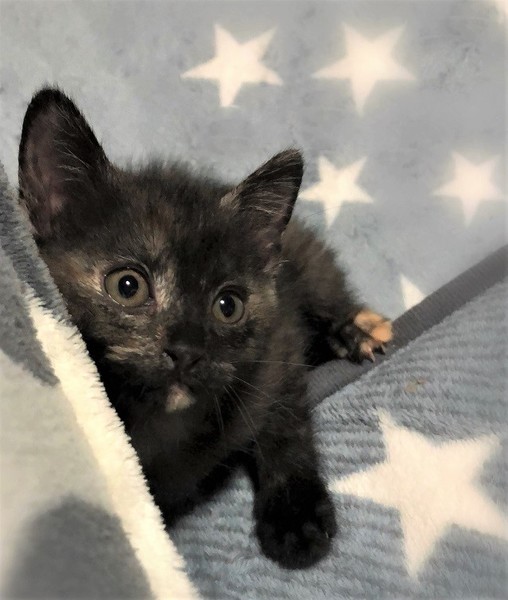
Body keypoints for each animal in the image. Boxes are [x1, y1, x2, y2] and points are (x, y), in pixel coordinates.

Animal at [18, 88, 392, 570]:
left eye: (228, 306)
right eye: (127, 286)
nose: (187, 350)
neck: (158, 421)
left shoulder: (280, 343)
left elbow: (285, 423)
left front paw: (295, 514)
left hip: (301, 253)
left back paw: (357, 329)